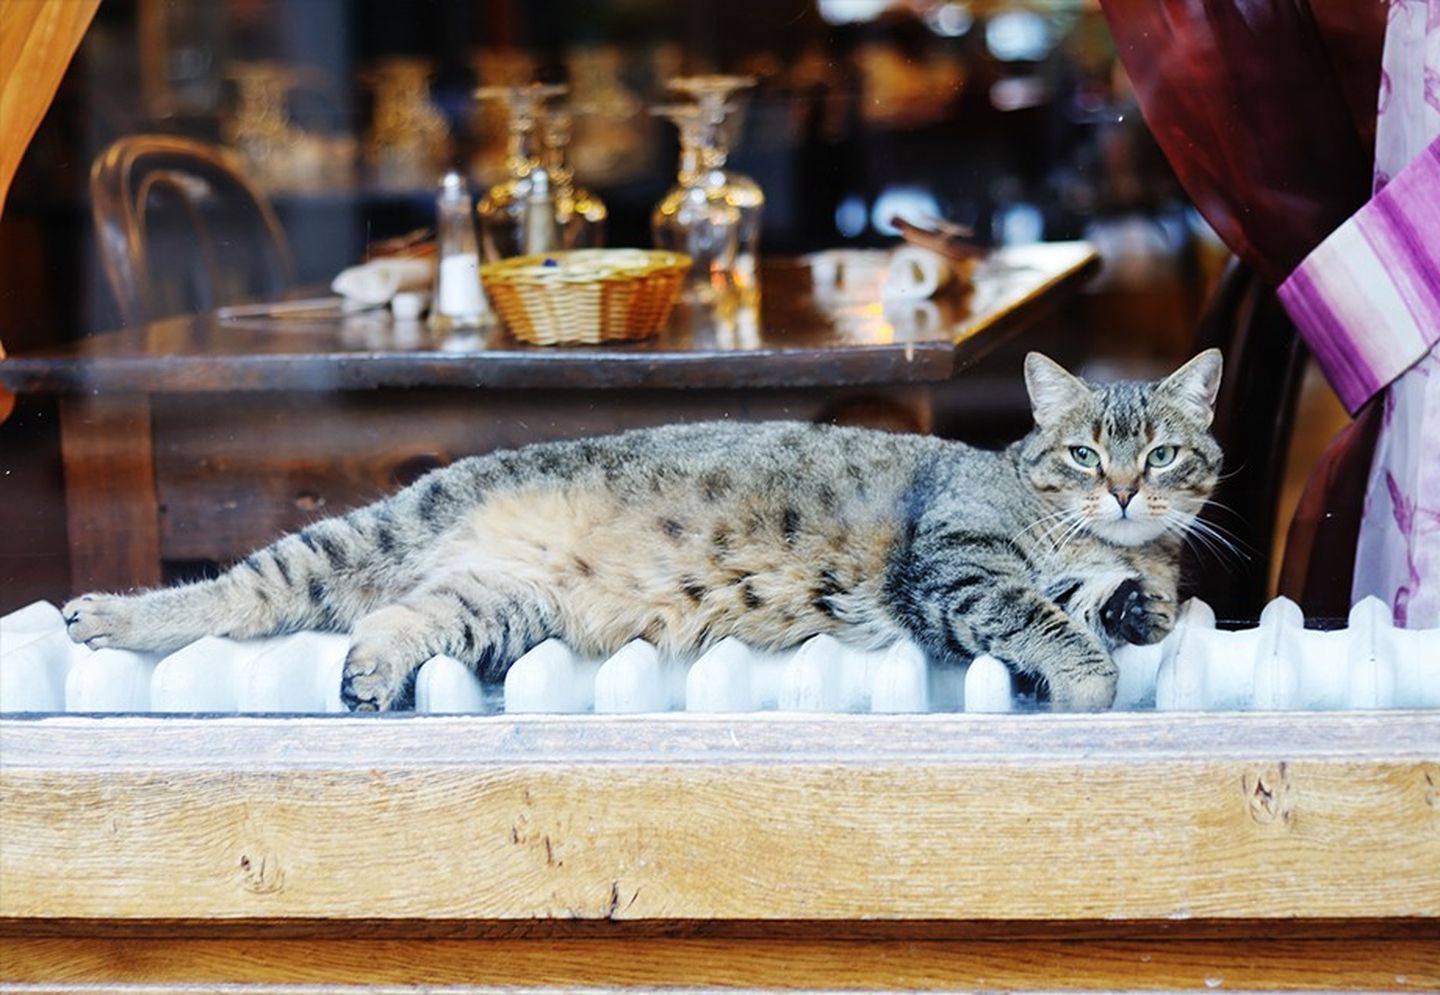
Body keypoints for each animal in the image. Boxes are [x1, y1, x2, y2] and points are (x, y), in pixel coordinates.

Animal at [61, 348, 1221, 708]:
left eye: (1163, 453)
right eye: (1086, 453)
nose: (1126, 489)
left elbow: (1123, 603)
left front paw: (1135, 600)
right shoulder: (957, 571)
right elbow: (1047, 620)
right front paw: (1087, 673)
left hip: (492, 608)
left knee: (391, 623)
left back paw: (371, 673)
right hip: (361, 537)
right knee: (236, 591)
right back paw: (104, 617)